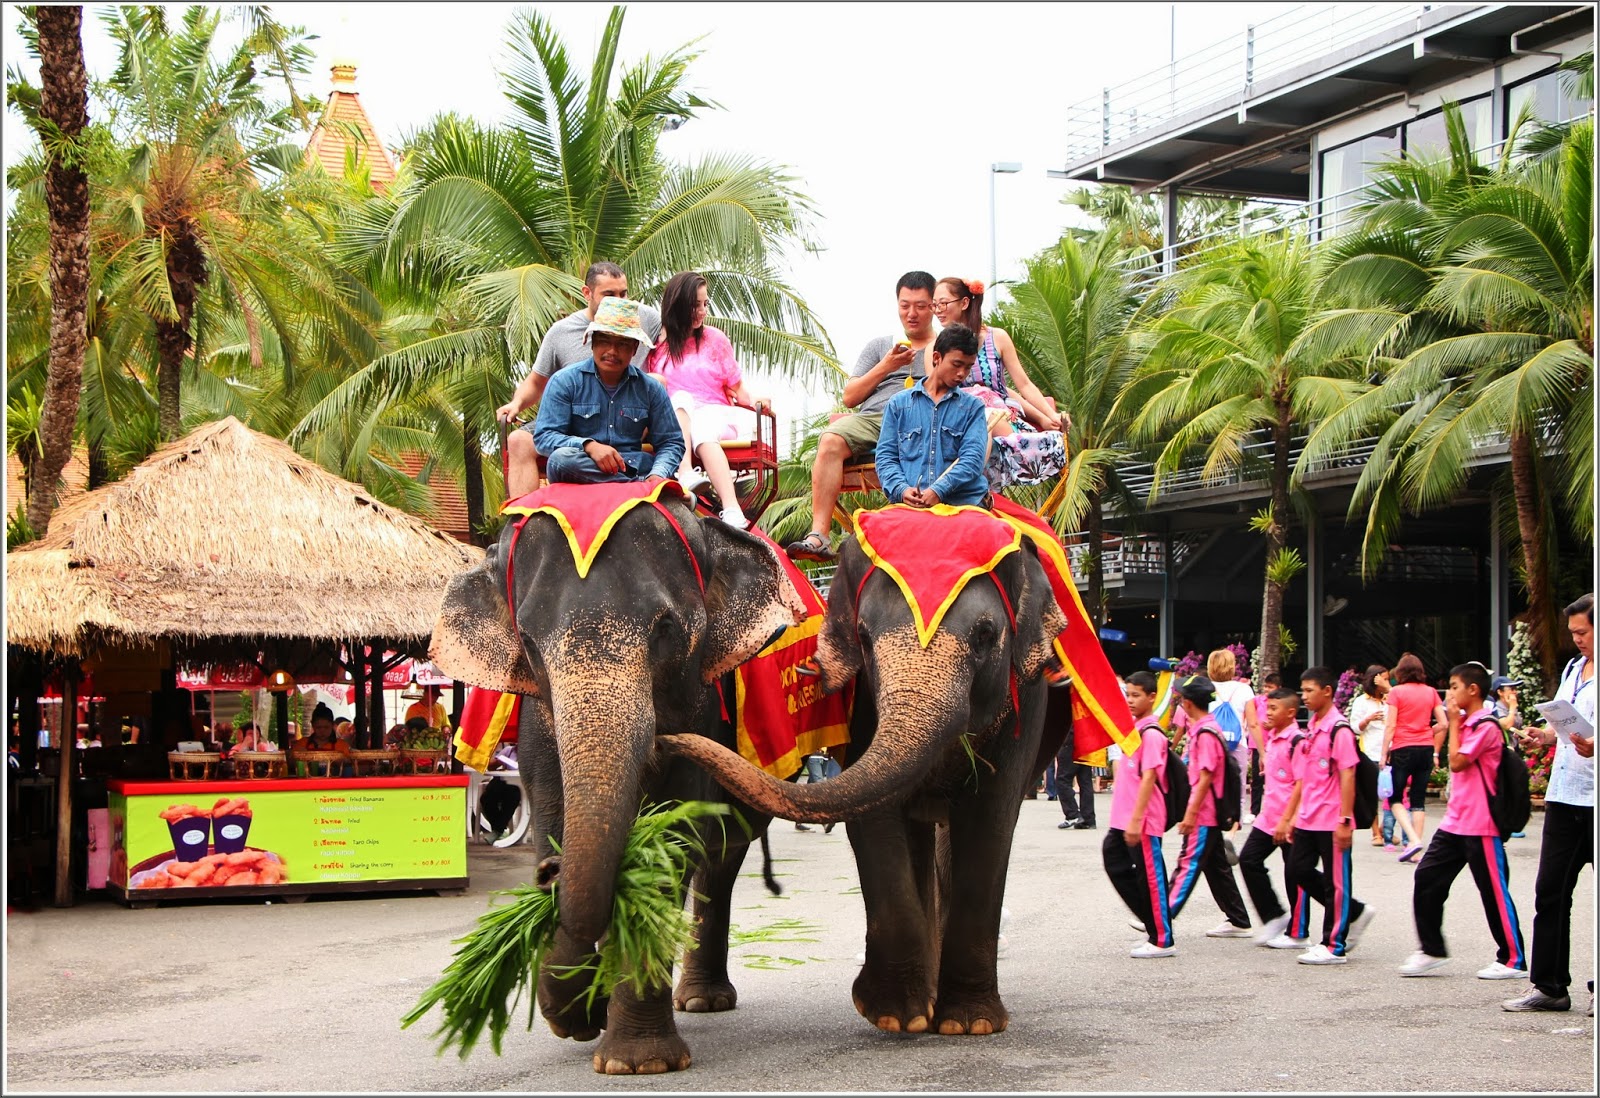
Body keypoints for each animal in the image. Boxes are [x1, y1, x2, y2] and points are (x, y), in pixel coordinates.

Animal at [428, 496, 812, 1081]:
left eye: (666, 628)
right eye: (528, 643)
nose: (549, 873)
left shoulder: (703, 704)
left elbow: (671, 837)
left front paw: (635, 1060)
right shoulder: (536, 716)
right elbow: (553, 808)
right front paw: (580, 1014)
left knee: (722, 851)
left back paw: (702, 1000)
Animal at [656, 534, 1068, 1043]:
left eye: (986, 635)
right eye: (866, 638)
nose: (664, 740)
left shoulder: (1026, 702)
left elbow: (990, 820)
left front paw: (969, 1024)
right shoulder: (860, 703)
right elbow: (876, 821)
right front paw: (895, 1016)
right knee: (728, 843)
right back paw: (702, 1002)